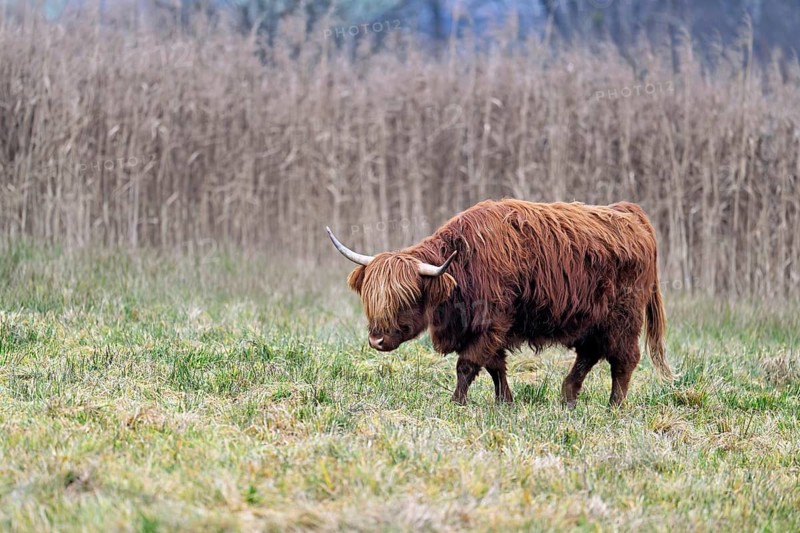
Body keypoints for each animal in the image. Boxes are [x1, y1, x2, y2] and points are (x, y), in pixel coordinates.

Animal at [327, 199, 673, 407]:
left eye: (407, 297)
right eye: (372, 297)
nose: (377, 340)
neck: (461, 265)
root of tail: (630, 213)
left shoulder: (491, 322)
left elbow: (467, 364)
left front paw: (457, 402)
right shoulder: (487, 328)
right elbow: (495, 365)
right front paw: (505, 401)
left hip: (624, 318)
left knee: (623, 359)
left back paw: (615, 406)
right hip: (593, 321)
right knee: (589, 355)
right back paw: (567, 397)